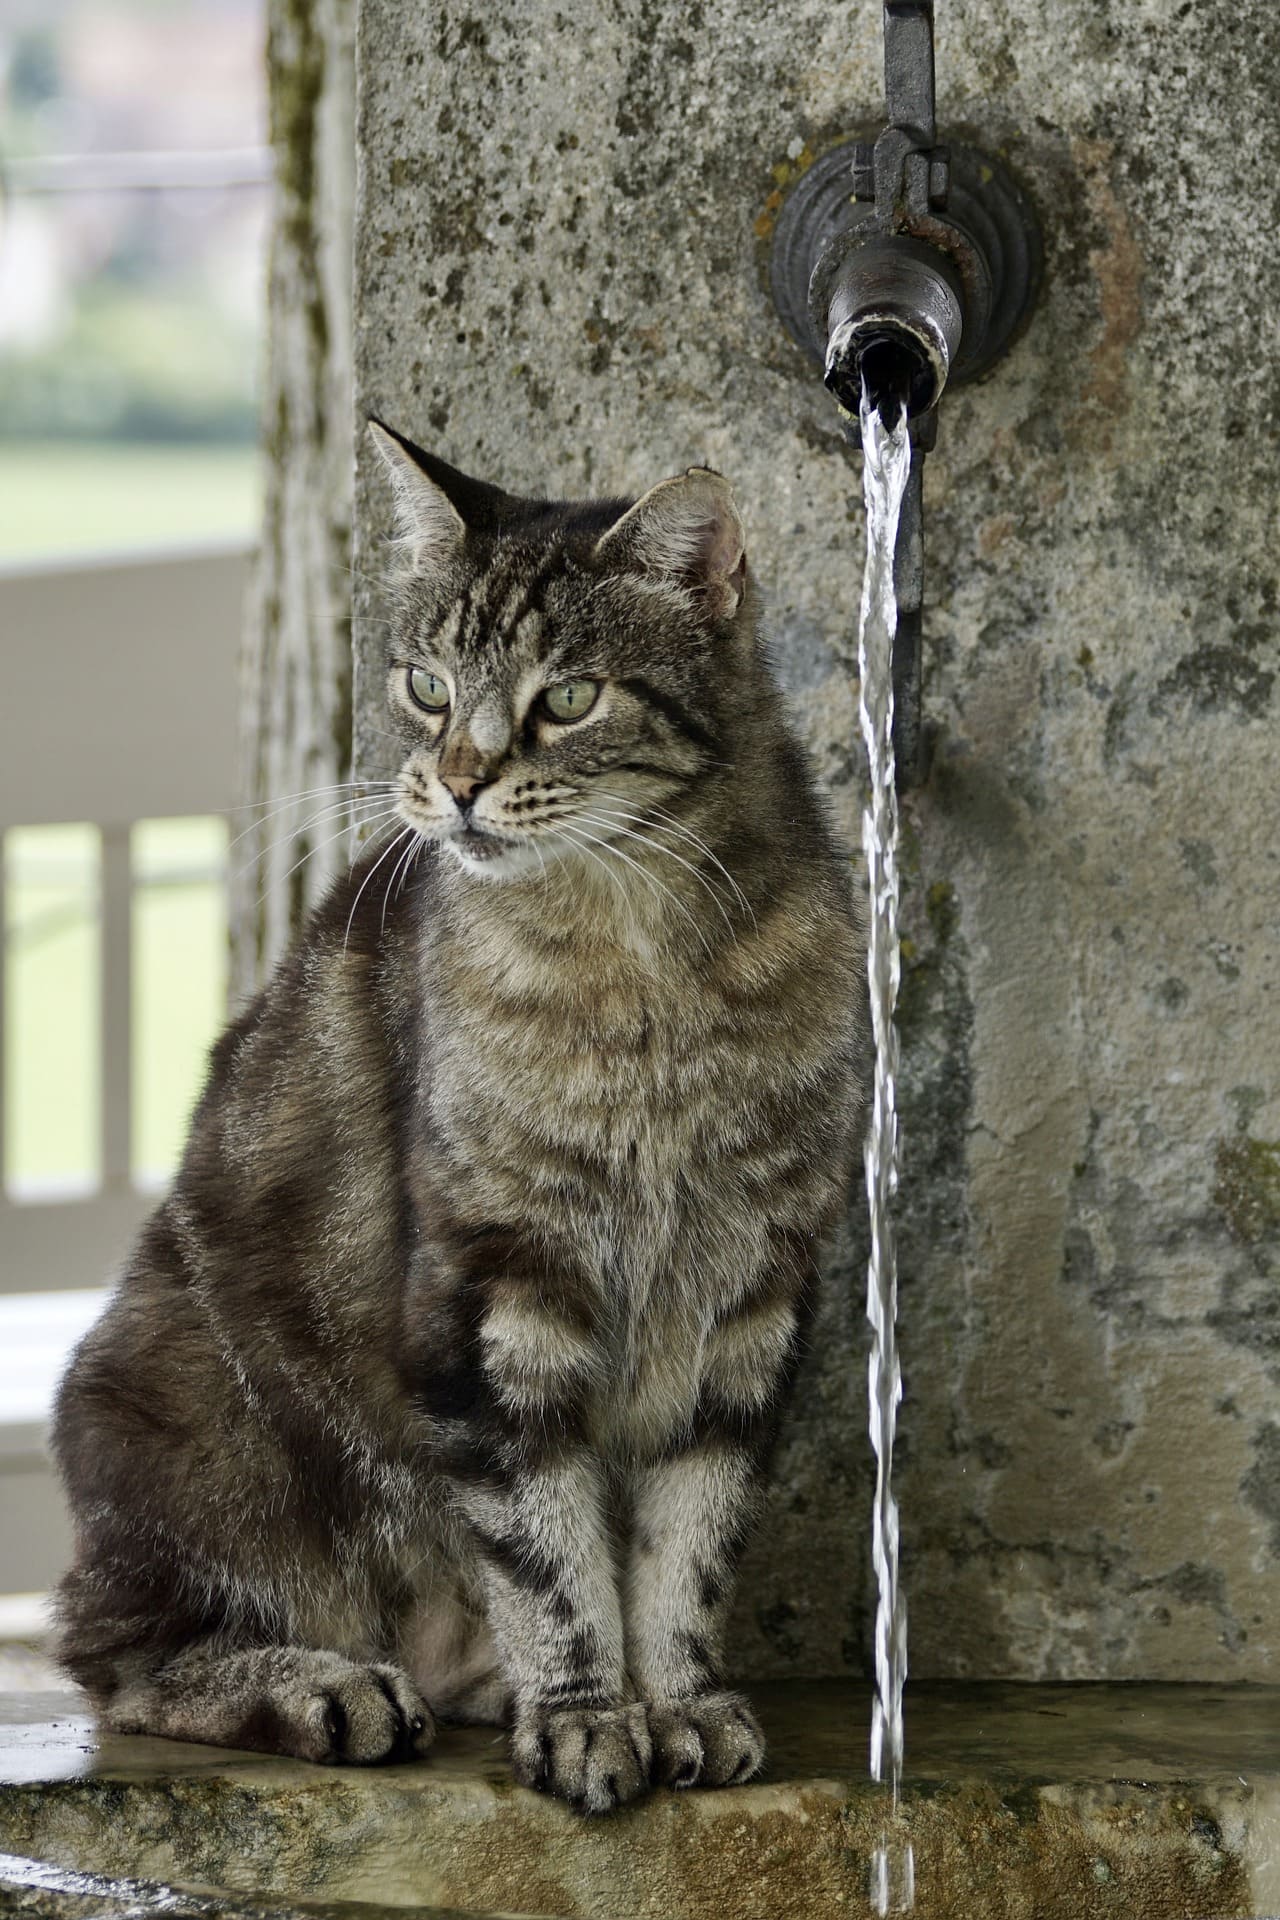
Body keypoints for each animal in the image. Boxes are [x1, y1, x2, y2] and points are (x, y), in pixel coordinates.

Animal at [52, 424, 871, 1812]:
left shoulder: (753, 1293)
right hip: (169, 1412)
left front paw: (678, 1701)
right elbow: (545, 1549)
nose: (457, 781)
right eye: (428, 686)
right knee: (124, 1654)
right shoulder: (495, 1281)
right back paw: (325, 1686)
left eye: (569, 698)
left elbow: (686, 1541)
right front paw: (588, 1717)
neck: (640, 967)